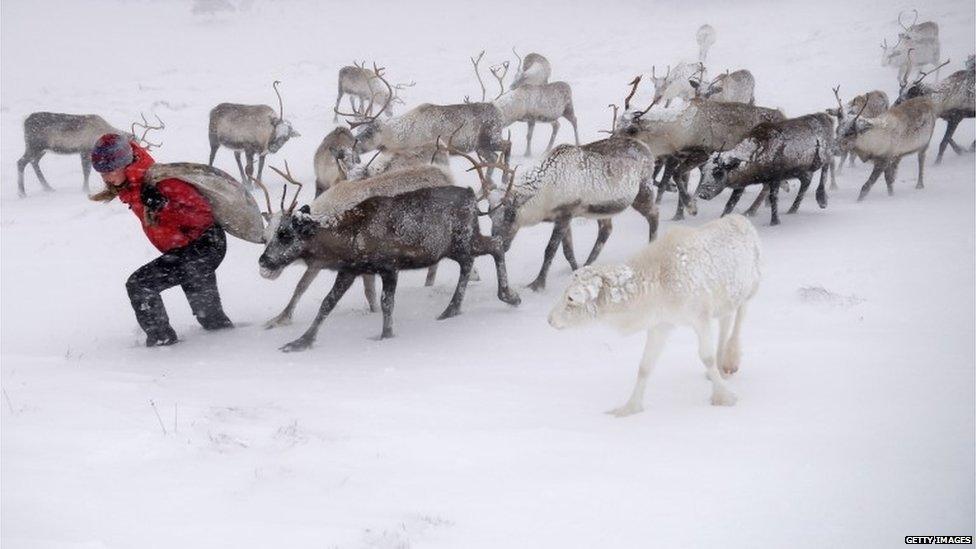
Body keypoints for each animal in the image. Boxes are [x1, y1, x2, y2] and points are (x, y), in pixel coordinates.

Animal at [548, 214, 764, 416]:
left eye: (571, 298)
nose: (550, 319)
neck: (658, 286)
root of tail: (742, 219)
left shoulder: (699, 316)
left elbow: (706, 357)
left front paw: (724, 397)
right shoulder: (660, 325)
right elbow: (644, 367)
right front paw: (629, 408)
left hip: (750, 289)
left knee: (739, 320)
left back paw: (729, 362)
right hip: (723, 303)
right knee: (725, 322)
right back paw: (718, 369)